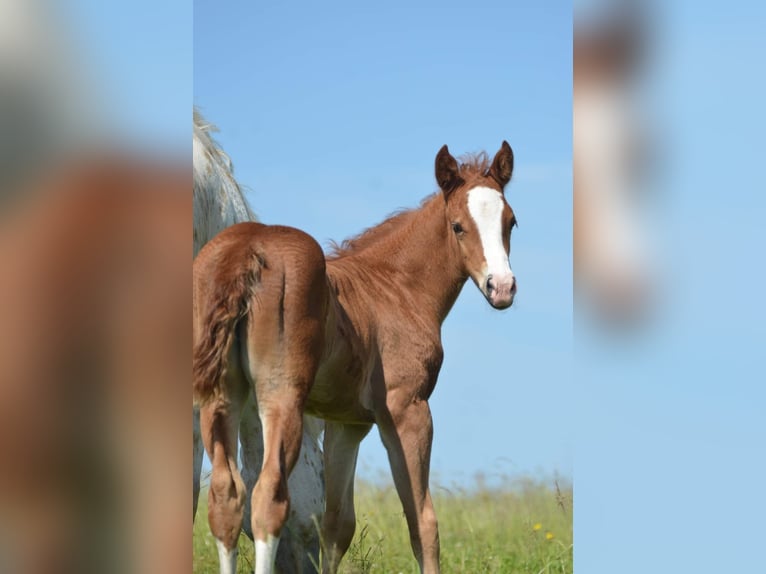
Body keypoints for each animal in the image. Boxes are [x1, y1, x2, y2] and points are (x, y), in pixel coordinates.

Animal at [192, 142, 520, 572]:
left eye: (511, 222)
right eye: (457, 226)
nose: (502, 288)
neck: (394, 288)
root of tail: (244, 251)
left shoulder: (348, 423)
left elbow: (336, 526)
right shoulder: (406, 409)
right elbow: (422, 522)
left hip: (221, 395)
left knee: (225, 498)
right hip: (280, 395)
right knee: (267, 497)